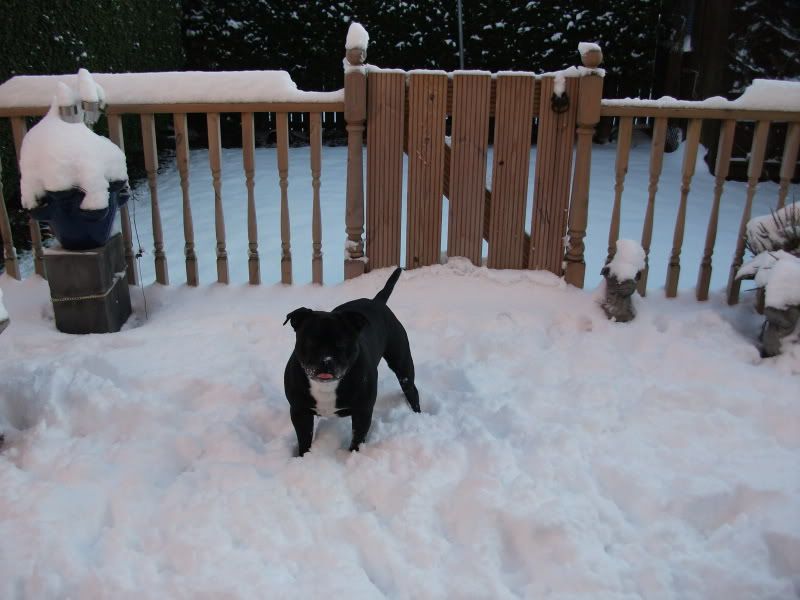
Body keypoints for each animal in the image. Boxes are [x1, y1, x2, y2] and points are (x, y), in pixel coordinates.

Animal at [282, 268, 418, 454]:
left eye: (341, 344)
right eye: (310, 342)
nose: (326, 360)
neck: (327, 387)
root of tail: (377, 302)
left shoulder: (363, 411)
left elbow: (357, 439)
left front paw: (352, 456)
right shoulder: (299, 411)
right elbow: (304, 439)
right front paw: (303, 456)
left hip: (402, 362)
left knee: (411, 388)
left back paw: (417, 414)